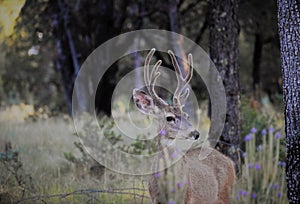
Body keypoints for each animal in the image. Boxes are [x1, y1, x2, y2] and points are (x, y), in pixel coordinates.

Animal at [132, 48, 236, 203]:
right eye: (170, 118)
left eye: (186, 115)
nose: (196, 133)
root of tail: (230, 161)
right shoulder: (154, 198)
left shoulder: (187, 198)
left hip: (226, 195)